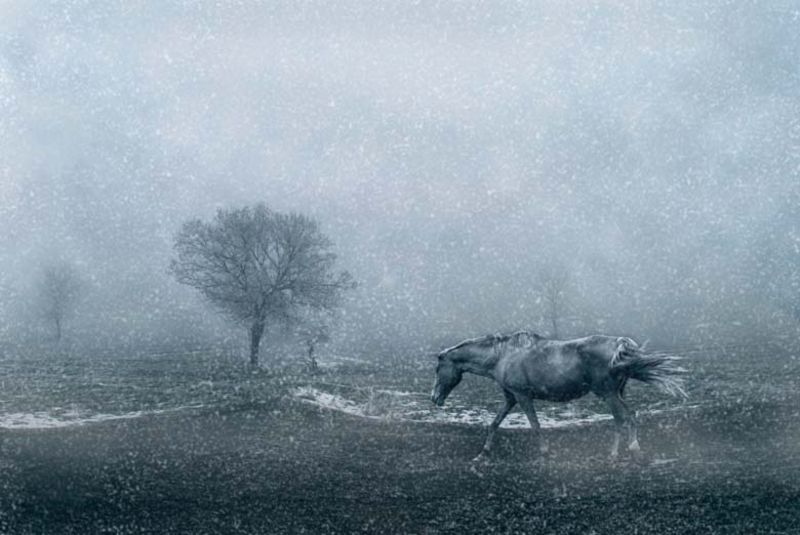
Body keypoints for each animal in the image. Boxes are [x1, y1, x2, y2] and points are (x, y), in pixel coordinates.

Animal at [431, 331, 687, 462]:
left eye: (437, 368)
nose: (434, 398)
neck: (501, 356)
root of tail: (620, 345)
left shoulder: (522, 397)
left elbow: (535, 425)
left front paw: (544, 452)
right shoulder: (510, 398)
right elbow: (494, 424)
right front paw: (482, 454)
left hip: (608, 394)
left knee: (620, 420)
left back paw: (614, 454)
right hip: (618, 393)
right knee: (631, 416)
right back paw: (634, 448)